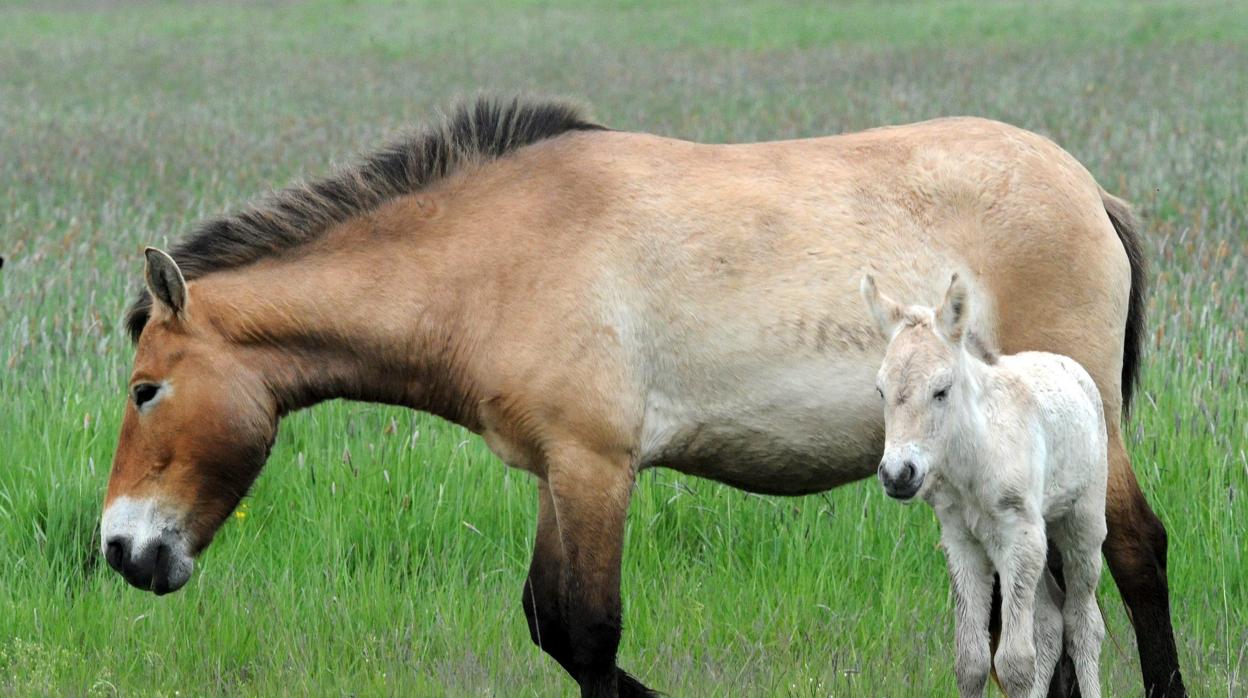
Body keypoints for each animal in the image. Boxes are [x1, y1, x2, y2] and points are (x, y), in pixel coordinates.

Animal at [863, 274, 1108, 698]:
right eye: (881, 391)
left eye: (941, 391)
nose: (897, 474)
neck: (975, 460)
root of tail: (1067, 365)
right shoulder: (962, 542)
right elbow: (971, 661)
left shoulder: (1019, 536)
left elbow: (1013, 664)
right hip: (1036, 537)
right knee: (1049, 622)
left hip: (1082, 525)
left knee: (1083, 624)